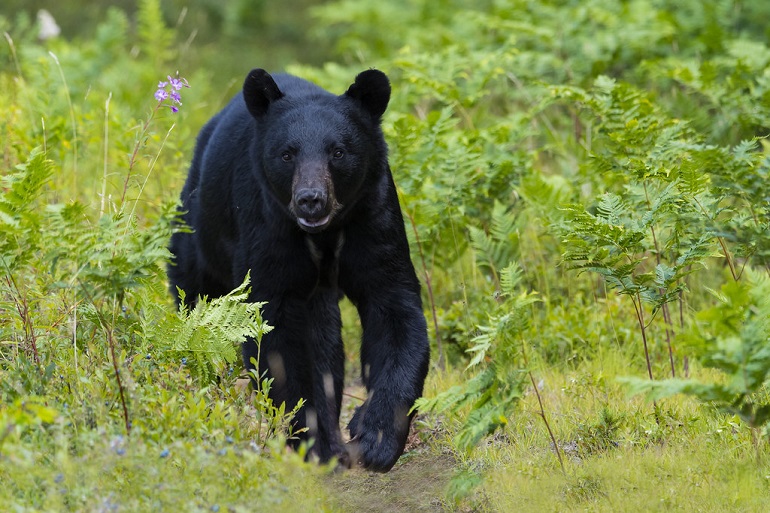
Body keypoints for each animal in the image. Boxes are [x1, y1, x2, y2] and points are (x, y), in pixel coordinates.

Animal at [167, 69, 428, 472]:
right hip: (201, 227)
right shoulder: (268, 226)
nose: (310, 199)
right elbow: (277, 330)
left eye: (338, 151)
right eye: (287, 154)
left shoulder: (373, 213)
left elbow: (392, 305)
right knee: (192, 283)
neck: (324, 235)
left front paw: (376, 437)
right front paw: (318, 442)